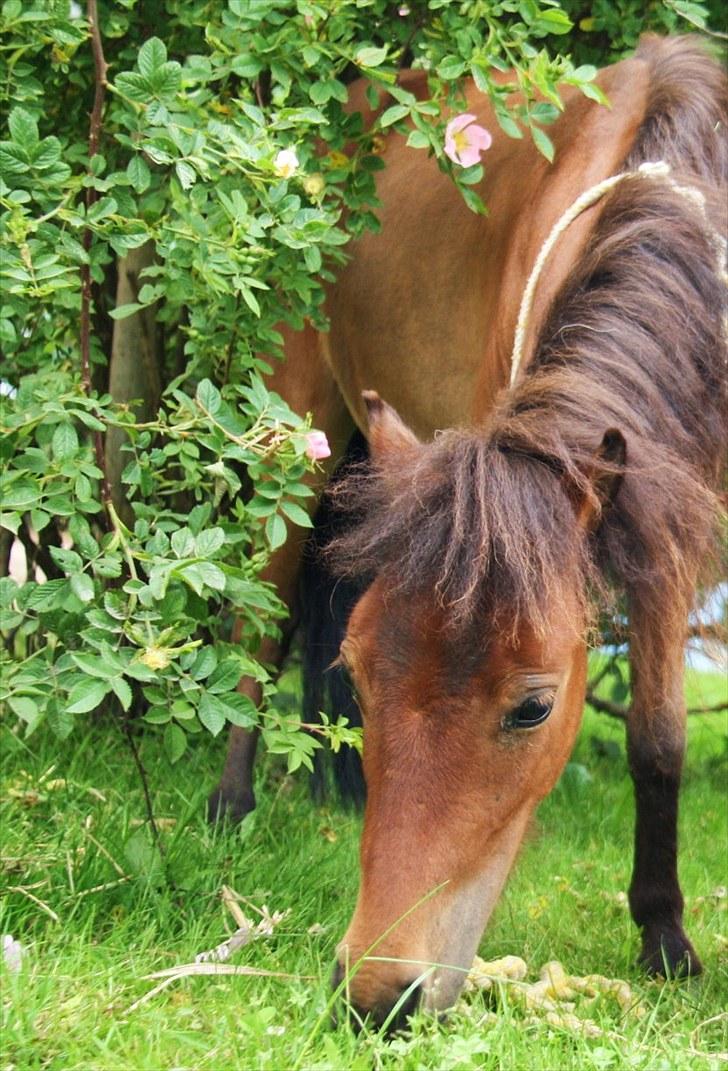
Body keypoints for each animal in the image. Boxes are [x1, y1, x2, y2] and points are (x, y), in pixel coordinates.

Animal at [208, 35, 727, 1027]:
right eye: (366, 675)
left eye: (533, 706)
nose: (378, 990)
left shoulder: (663, 532)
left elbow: (658, 737)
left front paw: (665, 936)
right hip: (300, 427)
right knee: (264, 615)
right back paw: (230, 801)